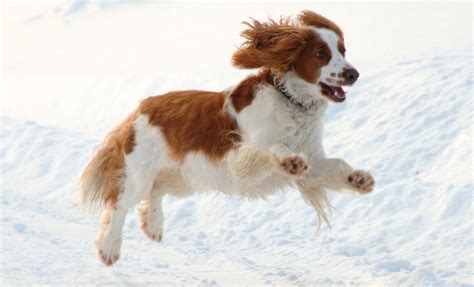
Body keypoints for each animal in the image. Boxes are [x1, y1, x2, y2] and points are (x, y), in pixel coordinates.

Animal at [81, 11, 376, 268]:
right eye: (320, 54)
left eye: (343, 51)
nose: (353, 74)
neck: (291, 101)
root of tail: (142, 107)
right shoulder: (241, 159)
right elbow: (273, 148)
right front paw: (289, 160)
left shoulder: (313, 162)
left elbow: (336, 164)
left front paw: (358, 179)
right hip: (140, 173)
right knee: (120, 204)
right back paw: (109, 247)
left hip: (184, 176)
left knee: (157, 190)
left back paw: (153, 225)